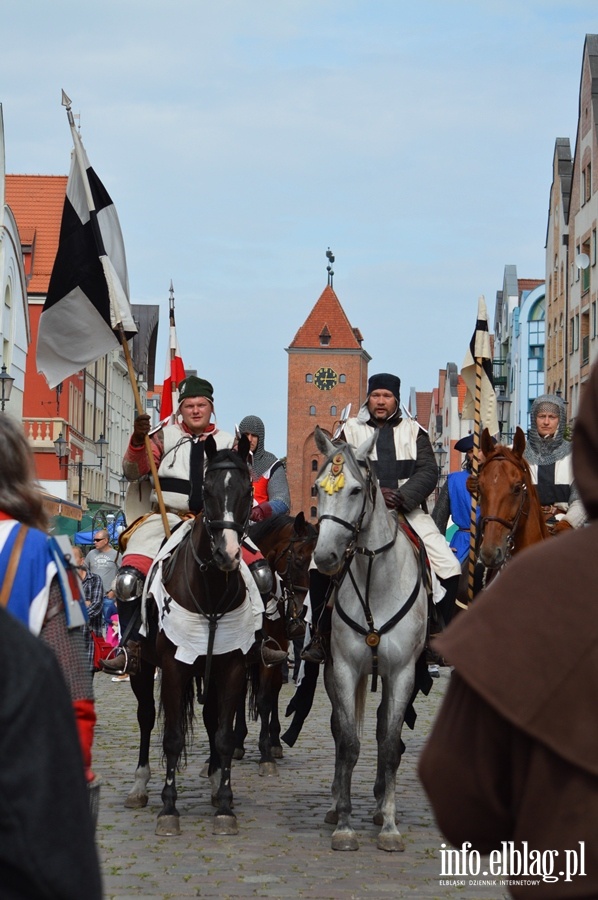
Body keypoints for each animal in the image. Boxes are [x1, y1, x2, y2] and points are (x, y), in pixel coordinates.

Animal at [152, 436, 255, 836]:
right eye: (208, 491)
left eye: (247, 491)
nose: (227, 554)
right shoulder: (172, 666)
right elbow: (172, 737)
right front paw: (168, 807)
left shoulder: (232, 668)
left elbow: (224, 736)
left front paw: (225, 804)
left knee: (212, 720)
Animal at [232, 512, 322, 772]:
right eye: (299, 559)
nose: (303, 612)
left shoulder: (271, 653)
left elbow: (264, 699)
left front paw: (266, 753)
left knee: (272, 693)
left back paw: (274, 742)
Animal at [314, 428, 432, 852]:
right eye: (318, 489)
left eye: (354, 490)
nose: (325, 557)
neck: (375, 580)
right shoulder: (345, 670)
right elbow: (349, 742)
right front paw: (345, 824)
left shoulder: (403, 674)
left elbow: (390, 744)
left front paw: (390, 827)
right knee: (339, 729)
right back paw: (335, 805)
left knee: (384, 730)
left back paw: (381, 805)